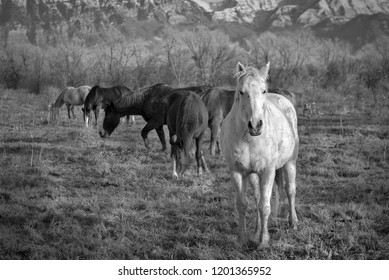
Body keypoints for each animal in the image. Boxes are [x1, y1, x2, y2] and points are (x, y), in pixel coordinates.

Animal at [220, 61, 298, 247]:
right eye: (242, 92)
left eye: (263, 91)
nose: (255, 125)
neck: (250, 139)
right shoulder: (237, 172)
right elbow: (243, 204)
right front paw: (243, 238)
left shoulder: (267, 171)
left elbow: (264, 206)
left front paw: (263, 241)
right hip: (253, 175)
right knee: (257, 197)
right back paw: (255, 232)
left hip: (290, 162)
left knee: (290, 190)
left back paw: (293, 222)